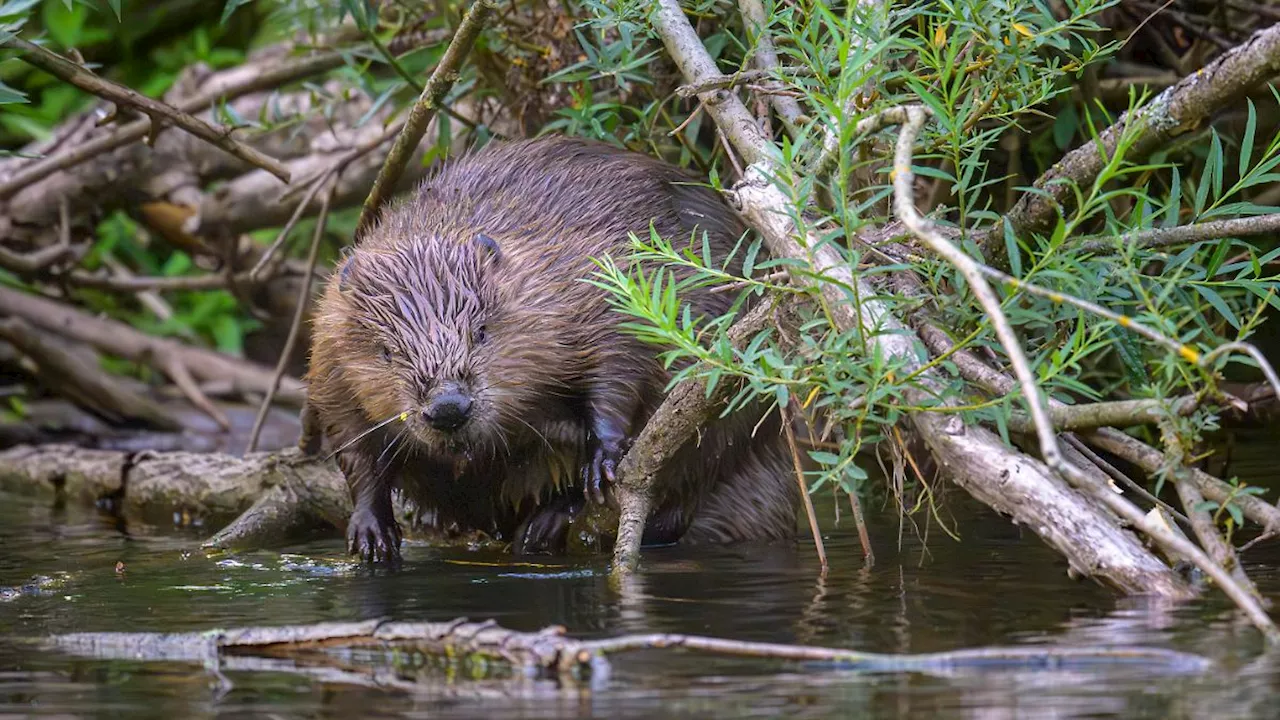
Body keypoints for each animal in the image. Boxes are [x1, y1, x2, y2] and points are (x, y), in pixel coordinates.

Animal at [303, 134, 793, 561]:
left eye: (482, 331)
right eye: (386, 352)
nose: (447, 408)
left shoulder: (591, 279)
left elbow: (620, 360)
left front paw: (602, 460)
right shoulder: (329, 356)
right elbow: (353, 445)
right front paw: (371, 532)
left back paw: (549, 522)